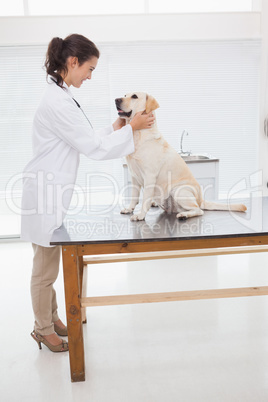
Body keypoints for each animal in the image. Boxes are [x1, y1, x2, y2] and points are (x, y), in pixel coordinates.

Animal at [114, 92, 246, 221]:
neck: (138, 135)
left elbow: (145, 199)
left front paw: (140, 215)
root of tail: (200, 200)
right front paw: (129, 209)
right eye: (125, 95)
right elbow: (134, 196)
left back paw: (184, 215)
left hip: (179, 191)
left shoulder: (149, 176)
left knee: (199, 210)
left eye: (134, 96)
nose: (116, 100)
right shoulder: (134, 176)